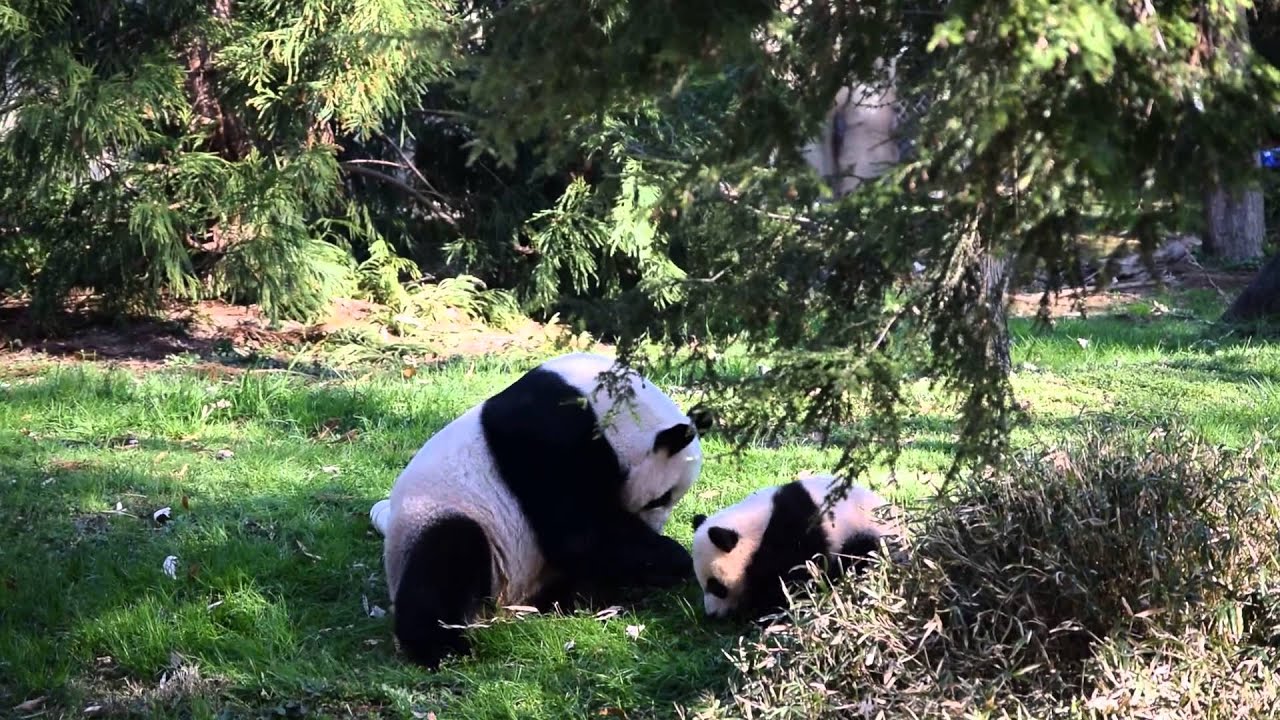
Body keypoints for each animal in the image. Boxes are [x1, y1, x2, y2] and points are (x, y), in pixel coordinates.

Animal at [370, 352, 712, 668]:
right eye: (661, 498)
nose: (656, 528)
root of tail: (506, 603)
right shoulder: (548, 439)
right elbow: (579, 533)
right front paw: (672, 557)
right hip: (442, 515)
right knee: (446, 558)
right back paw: (443, 647)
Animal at [690, 474, 902, 620]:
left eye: (717, 586)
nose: (712, 614)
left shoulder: (793, 533)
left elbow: (794, 576)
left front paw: (762, 609)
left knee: (861, 553)